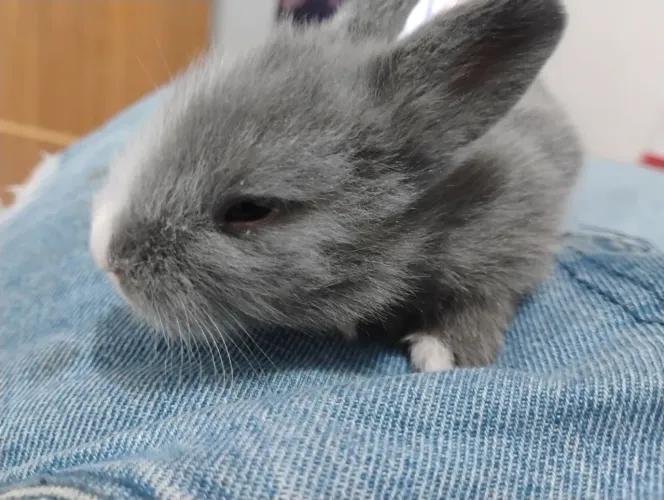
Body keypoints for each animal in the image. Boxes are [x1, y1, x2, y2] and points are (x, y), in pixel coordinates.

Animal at [90, 0, 582, 372]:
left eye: (250, 210)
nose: (107, 260)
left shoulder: (512, 247)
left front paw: (442, 355)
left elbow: (484, 301)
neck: (434, 210)